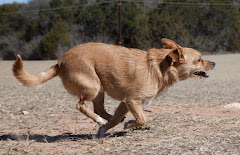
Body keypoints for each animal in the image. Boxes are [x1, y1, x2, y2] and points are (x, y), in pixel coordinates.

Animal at [12, 38, 215, 138]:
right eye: (199, 59)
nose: (213, 63)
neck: (160, 66)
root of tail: (60, 61)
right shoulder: (133, 100)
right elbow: (142, 119)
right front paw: (128, 125)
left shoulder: (125, 103)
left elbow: (118, 118)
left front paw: (105, 130)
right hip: (93, 86)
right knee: (82, 106)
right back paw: (99, 120)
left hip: (100, 89)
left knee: (99, 109)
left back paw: (105, 120)